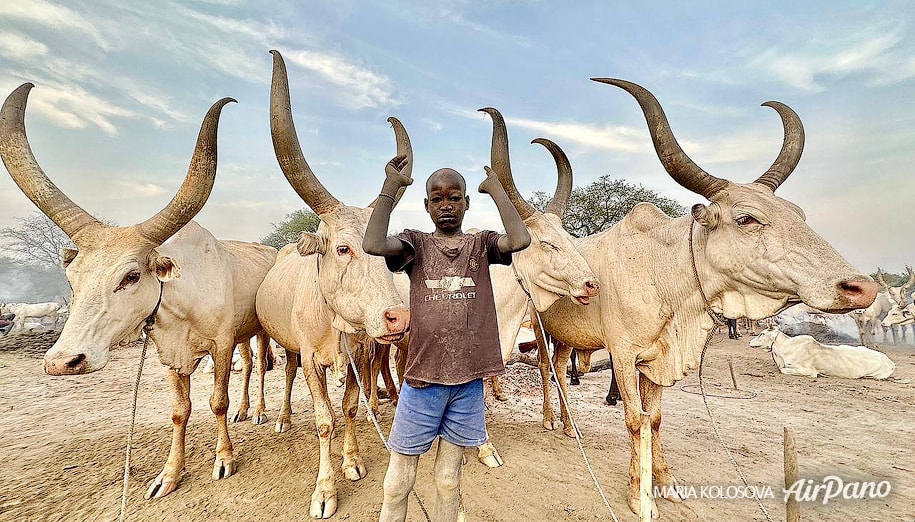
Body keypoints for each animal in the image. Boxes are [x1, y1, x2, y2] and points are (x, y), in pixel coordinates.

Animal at [250, 50, 408, 516]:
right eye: (342, 248)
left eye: (390, 252)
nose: (397, 317)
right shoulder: (309, 359)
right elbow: (324, 420)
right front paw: (324, 490)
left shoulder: (363, 354)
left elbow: (351, 408)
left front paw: (352, 460)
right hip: (283, 345)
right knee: (283, 374)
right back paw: (281, 417)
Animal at [532, 78, 876, 516]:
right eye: (746, 218)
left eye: (799, 214)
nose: (861, 287)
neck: (661, 268)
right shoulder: (624, 356)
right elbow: (634, 419)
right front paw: (639, 495)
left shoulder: (655, 360)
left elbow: (654, 419)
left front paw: (666, 484)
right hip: (539, 328)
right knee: (546, 370)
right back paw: (549, 420)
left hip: (567, 337)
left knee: (561, 371)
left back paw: (567, 424)